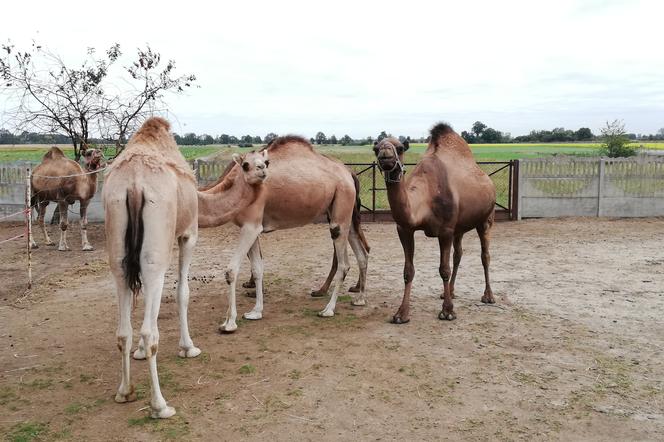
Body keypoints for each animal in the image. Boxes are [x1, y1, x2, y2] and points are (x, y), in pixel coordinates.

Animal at [104, 116, 268, 418]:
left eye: (265, 160)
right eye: (248, 164)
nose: (263, 170)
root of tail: (133, 185)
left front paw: (139, 353)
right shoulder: (189, 234)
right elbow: (183, 293)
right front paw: (188, 347)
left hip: (118, 245)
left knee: (123, 329)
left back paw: (125, 392)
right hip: (155, 250)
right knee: (149, 329)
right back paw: (160, 405)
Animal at [197, 136, 374, 334]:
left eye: (265, 162)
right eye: (245, 165)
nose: (262, 170)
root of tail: (349, 174)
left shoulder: (251, 226)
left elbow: (231, 270)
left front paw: (229, 323)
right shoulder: (250, 227)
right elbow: (257, 268)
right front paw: (255, 312)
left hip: (341, 207)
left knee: (344, 262)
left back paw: (328, 309)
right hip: (344, 212)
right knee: (361, 253)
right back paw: (360, 299)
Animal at [370, 122, 496, 322]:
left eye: (400, 148)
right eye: (375, 149)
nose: (385, 155)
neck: (424, 201)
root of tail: (488, 180)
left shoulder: (445, 230)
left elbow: (444, 269)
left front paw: (448, 312)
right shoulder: (404, 229)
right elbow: (408, 271)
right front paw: (401, 314)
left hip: (485, 219)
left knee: (485, 256)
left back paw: (488, 296)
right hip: (459, 227)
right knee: (458, 254)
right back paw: (449, 292)